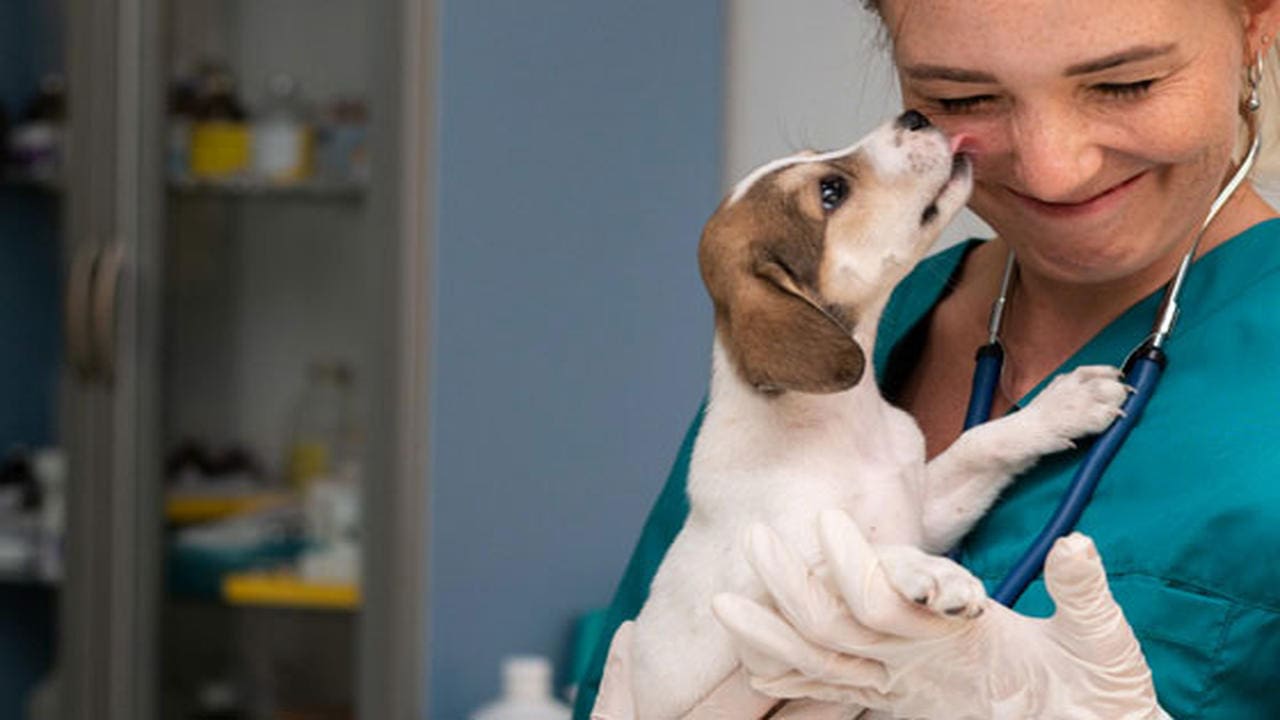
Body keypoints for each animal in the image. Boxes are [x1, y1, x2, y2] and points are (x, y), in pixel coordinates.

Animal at [624, 109, 1126, 712]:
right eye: (831, 192)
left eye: (821, 159)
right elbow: (851, 558)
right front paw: (931, 574)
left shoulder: (925, 509)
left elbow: (979, 445)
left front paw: (1063, 405)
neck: (842, 425)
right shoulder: (761, 596)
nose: (917, 116)